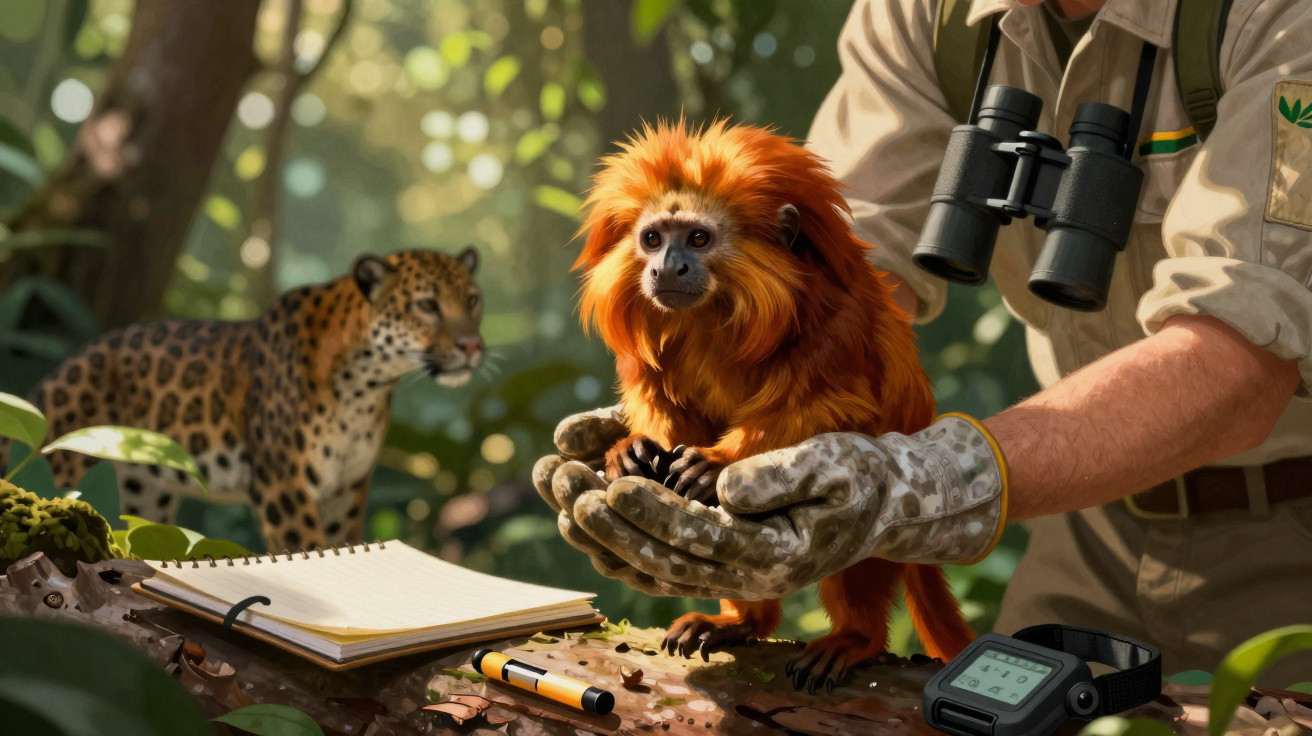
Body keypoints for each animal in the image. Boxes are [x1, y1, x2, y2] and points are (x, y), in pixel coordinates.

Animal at [0, 247, 484, 553]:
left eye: (474, 300)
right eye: (427, 305)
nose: (472, 346)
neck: (368, 386)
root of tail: (52, 378)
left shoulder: (346, 488)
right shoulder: (283, 485)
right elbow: (307, 551)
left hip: (142, 494)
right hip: (59, 463)